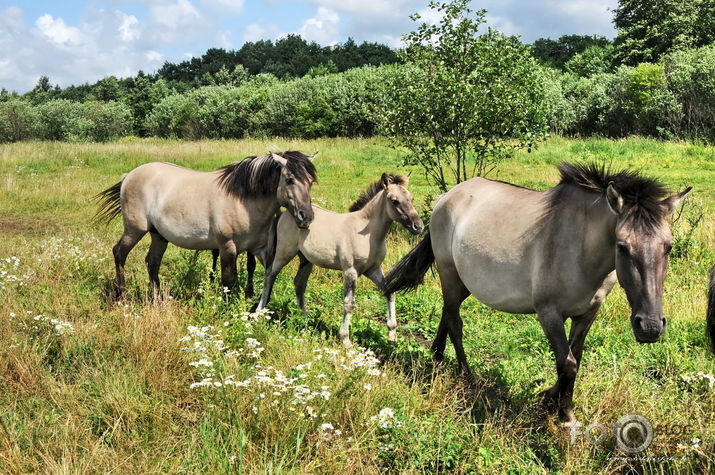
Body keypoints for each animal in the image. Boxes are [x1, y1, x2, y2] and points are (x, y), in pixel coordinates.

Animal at [97, 152, 316, 302]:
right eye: (289, 180)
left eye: (310, 182)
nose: (306, 217)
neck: (244, 200)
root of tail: (129, 175)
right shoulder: (227, 247)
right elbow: (228, 280)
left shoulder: (260, 249)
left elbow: (261, 274)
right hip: (135, 229)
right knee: (119, 252)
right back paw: (120, 294)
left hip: (158, 236)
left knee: (152, 262)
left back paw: (158, 299)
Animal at [260, 174, 422, 346]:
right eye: (394, 201)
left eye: (411, 198)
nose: (418, 226)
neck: (366, 233)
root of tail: (285, 214)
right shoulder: (350, 271)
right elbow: (349, 304)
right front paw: (345, 340)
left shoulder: (373, 269)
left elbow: (390, 293)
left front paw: (392, 335)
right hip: (284, 253)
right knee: (269, 275)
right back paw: (260, 312)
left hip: (306, 260)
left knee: (299, 283)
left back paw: (304, 319)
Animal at [386, 163, 692, 424]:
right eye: (622, 246)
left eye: (669, 246)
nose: (650, 327)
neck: (580, 247)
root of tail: (446, 197)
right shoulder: (549, 314)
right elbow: (567, 364)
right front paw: (564, 415)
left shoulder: (587, 313)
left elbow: (575, 357)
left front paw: (549, 399)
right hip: (449, 274)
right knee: (455, 323)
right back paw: (466, 375)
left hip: (463, 283)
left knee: (447, 312)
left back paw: (437, 356)